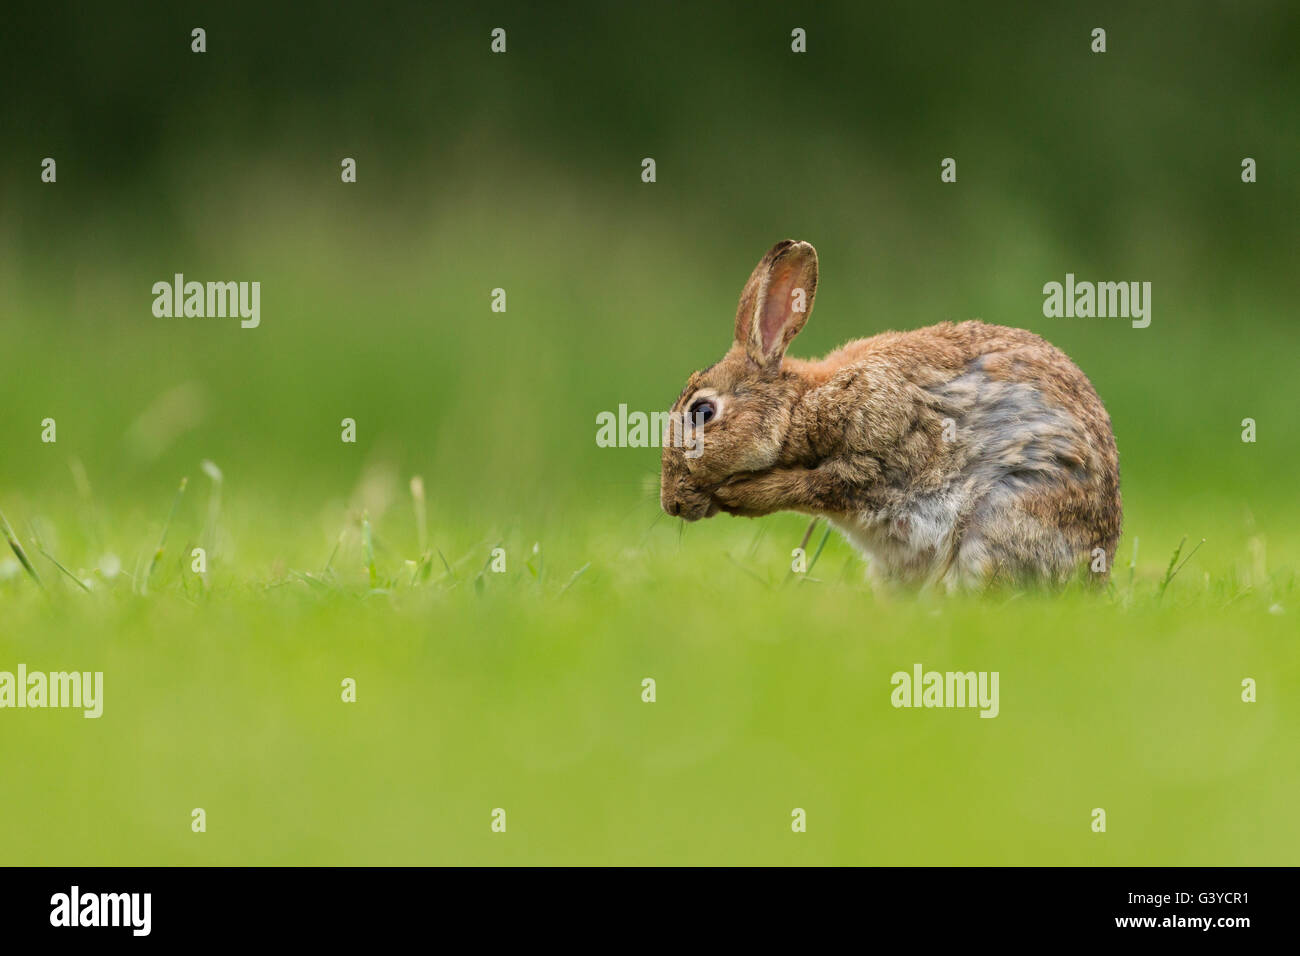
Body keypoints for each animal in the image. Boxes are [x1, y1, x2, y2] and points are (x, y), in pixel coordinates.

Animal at [665, 239, 1123, 590]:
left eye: (702, 412)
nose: (671, 503)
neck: (800, 405)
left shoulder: (873, 454)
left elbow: (810, 485)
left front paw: (738, 494)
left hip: (1001, 523)